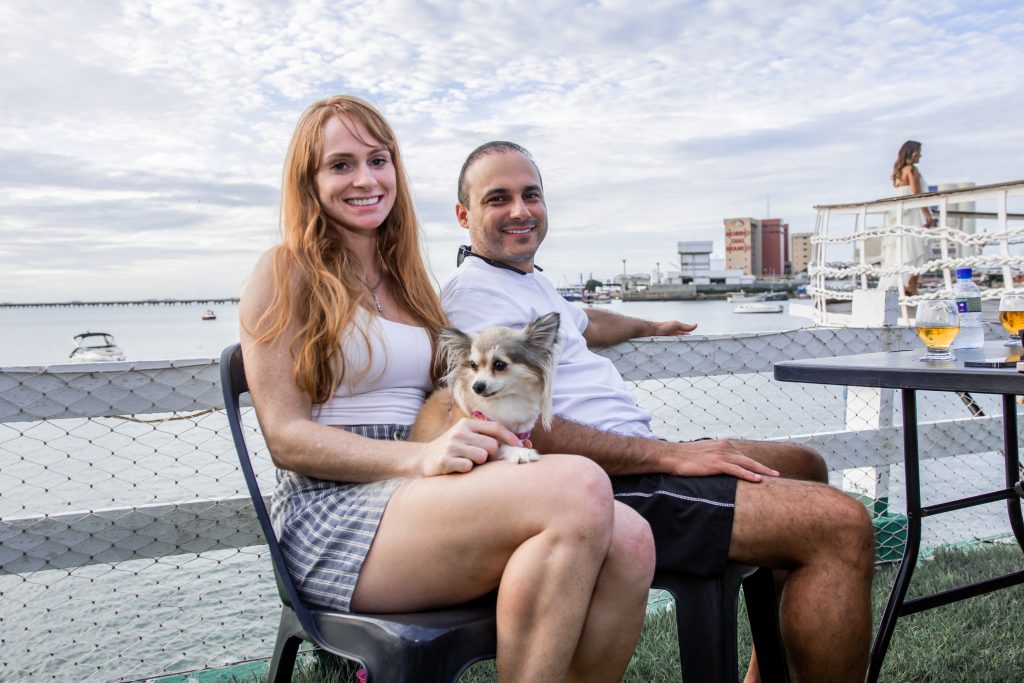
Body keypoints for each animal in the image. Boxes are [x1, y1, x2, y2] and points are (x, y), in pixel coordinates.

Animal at [409, 311, 565, 462]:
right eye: (473, 365)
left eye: (499, 364)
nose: (477, 386)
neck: (504, 401)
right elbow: (499, 445)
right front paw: (519, 451)